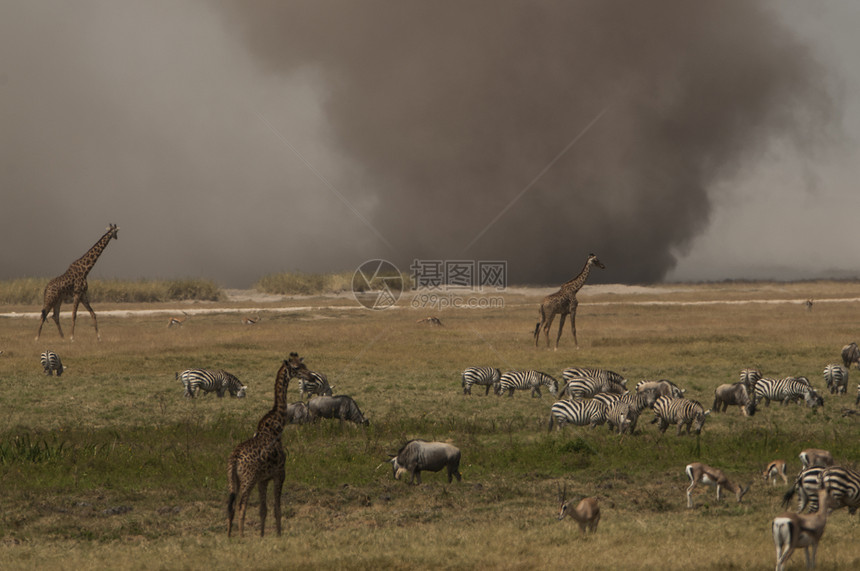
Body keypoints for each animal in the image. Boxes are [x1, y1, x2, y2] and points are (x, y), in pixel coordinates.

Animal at [227, 354, 310, 536]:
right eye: (296, 367)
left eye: (305, 365)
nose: (311, 376)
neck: (277, 425)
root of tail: (234, 459)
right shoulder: (279, 473)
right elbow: (277, 508)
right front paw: (278, 535)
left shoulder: (263, 479)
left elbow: (263, 510)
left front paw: (262, 536)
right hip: (248, 479)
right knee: (241, 506)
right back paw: (241, 537)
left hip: (233, 480)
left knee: (231, 507)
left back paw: (229, 537)